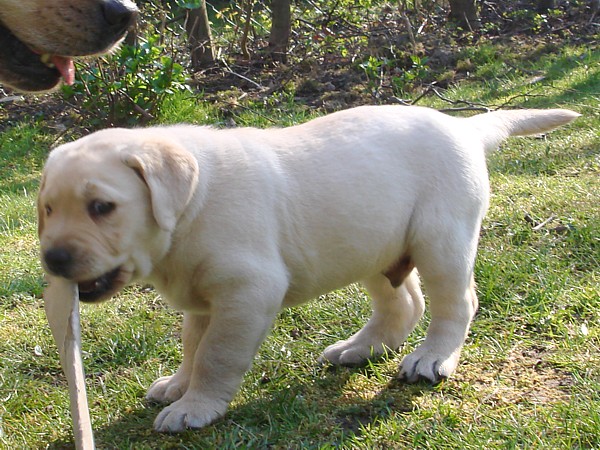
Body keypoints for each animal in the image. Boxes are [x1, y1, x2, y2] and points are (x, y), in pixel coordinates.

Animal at [36, 105, 576, 432]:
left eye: (102, 207)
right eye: (47, 209)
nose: (53, 259)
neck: (190, 203)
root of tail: (462, 126)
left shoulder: (247, 291)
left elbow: (216, 355)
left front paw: (193, 407)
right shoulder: (205, 296)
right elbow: (193, 344)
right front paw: (178, 385)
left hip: (440, 238)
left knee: (455, 302)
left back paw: (431, 358)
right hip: (372, 244)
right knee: (403, 302)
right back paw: (360, 348)